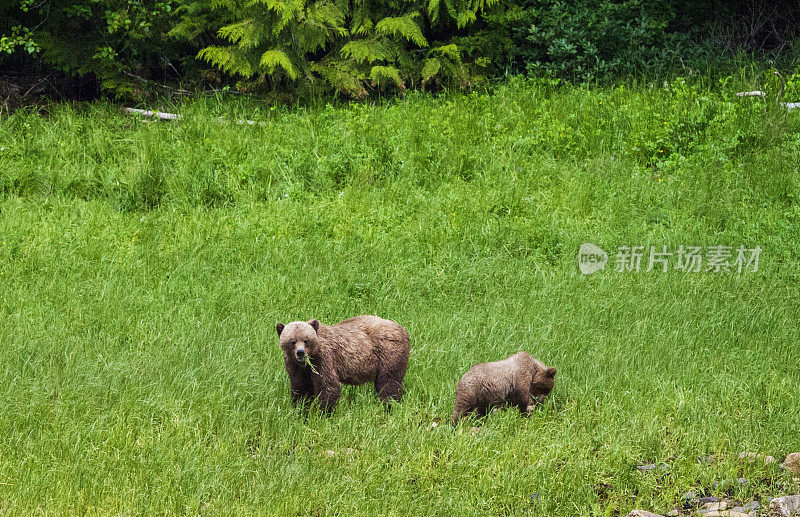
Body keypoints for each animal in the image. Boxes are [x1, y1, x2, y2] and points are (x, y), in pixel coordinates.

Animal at [276, 314, 412, 412]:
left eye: (306, 340)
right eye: (292, 341)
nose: (300, 352)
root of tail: (403, 329)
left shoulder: (324, 360)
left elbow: (328, 386)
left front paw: (324, 412)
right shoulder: (295, 366)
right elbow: (300, 387)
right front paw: (301, 408)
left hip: (388, 353)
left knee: (388, 383)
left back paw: (389, 405)